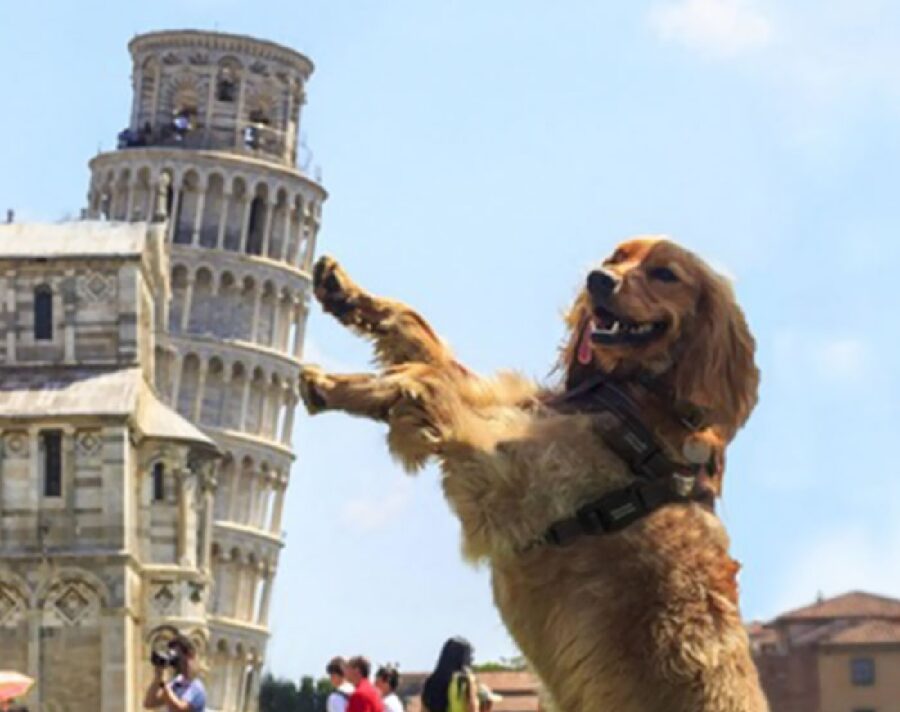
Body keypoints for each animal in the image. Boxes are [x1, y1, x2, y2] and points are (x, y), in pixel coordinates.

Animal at [300, 239, 768, 712]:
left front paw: (349, 385)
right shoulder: (509, 417)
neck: (634, 402)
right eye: (616, 257)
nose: (598, 279)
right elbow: (425, 341)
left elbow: (433, 381)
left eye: (666, 274)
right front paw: (346, 296)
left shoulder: (502, 471)